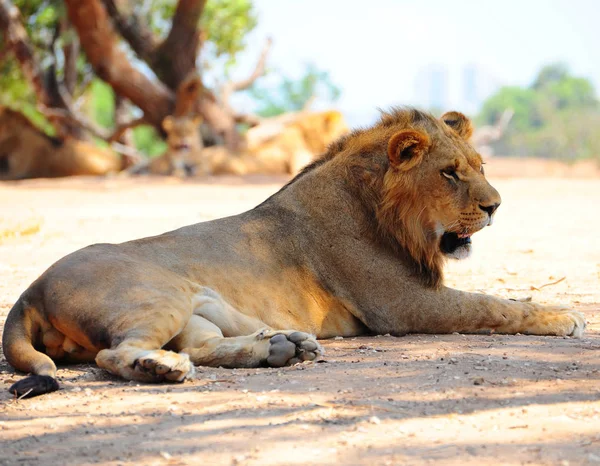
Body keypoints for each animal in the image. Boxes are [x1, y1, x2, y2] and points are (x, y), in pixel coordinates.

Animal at [2, 106, 584, 396]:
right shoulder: (403, 306)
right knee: (116, 354)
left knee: (203, 345)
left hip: (199, 302)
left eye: (481, 167)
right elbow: (495, 305)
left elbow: (496, 299)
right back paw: (161, 368)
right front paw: (566, 315)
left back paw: (281, 347)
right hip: (160, 294)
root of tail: (30, 289)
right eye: (449, 173)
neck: (382, 209)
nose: (496, 206)